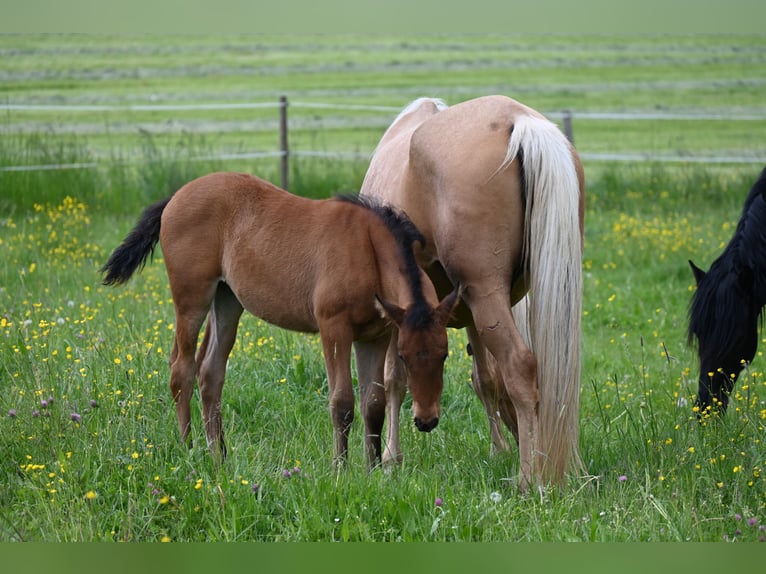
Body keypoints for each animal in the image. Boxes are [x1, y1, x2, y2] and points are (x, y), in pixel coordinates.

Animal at [100, 171, 460, 468]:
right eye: (404, 356)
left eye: (444, 355)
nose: (426, 420)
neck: (367, 249)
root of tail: (175, 196)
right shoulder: (334, 328)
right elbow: (342, 402)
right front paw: (341, 470)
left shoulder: (375, 336)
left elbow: (373, 403)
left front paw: (372, 471)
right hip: (192, 297)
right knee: (182, 369)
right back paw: (188, 449)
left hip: (227, 300)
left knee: (210, 372)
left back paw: (220, 456)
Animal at [360, 95, 585, 489]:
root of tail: (518, 120)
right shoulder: (468, 314)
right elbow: (485, 379)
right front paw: (498, 450)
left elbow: (392, 380)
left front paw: (389, 458)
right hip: (499, 300)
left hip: (487, 296)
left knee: (520, 365)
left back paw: (529, 479)